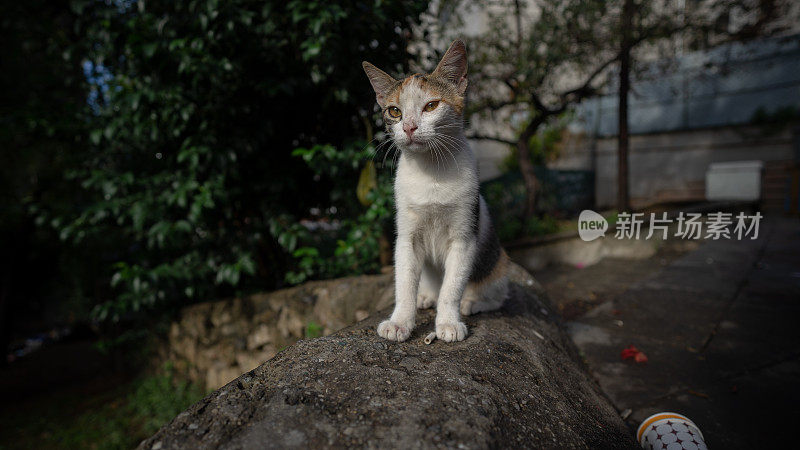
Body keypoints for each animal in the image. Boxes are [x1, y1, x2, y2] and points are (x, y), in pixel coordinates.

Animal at [360, 40, 506, 342]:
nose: (409, 127)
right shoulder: (407, 235)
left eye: (431, 105)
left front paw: (448, 322)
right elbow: (404, 283)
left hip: (498, 266)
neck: (431, 172)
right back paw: (426, 296)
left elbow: (452, 286)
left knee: (497, 295)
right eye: (394, 111)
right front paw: (400, 321)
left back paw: (472, 302)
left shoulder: (464, 236)